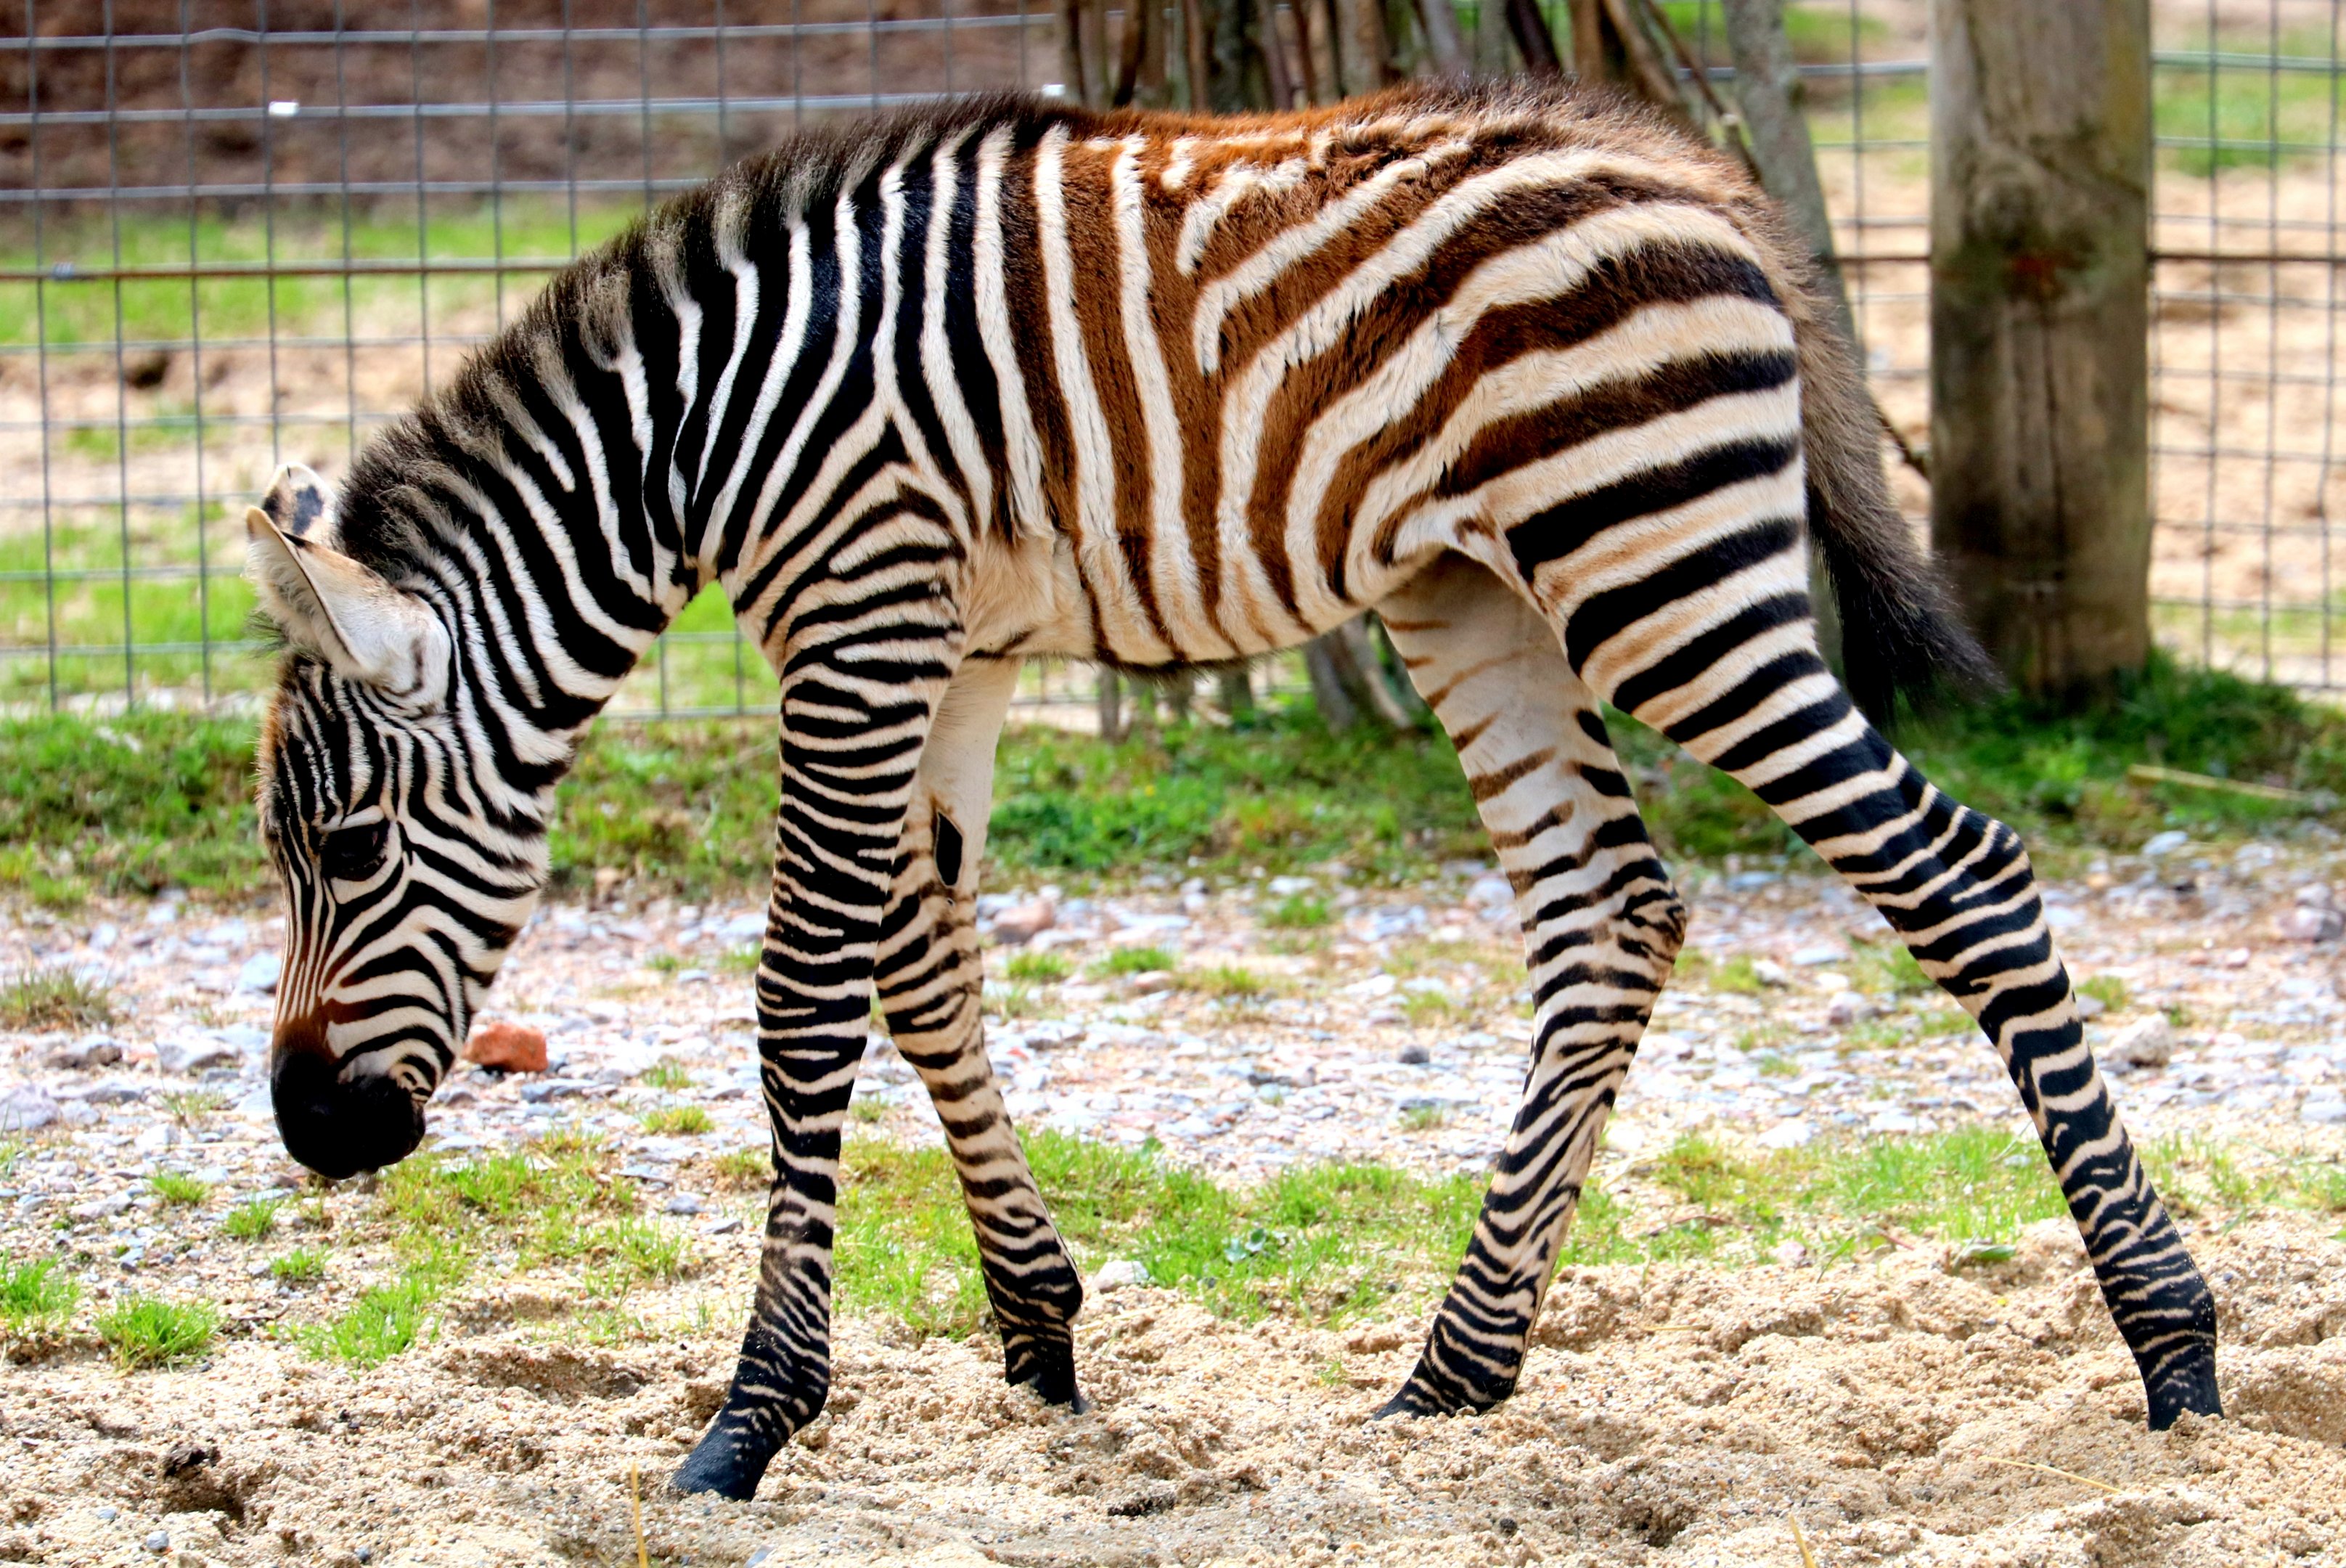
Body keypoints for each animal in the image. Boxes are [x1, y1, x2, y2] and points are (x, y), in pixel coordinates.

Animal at [244, 83, 2222, 1502]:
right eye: (289, 852)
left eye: (347, 843)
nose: (310, 1136)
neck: (706, 431)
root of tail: (1691, 178)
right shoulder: (955, 641)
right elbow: (922, 962)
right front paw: (1035, 1330)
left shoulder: (861, 607)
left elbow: (806, 994)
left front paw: (751, 1416)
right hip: (1470, 589)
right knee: (1610, 915)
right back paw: (1451, 1375)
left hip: (1652, 566)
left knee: (1957, 871)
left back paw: (2171, 1346)